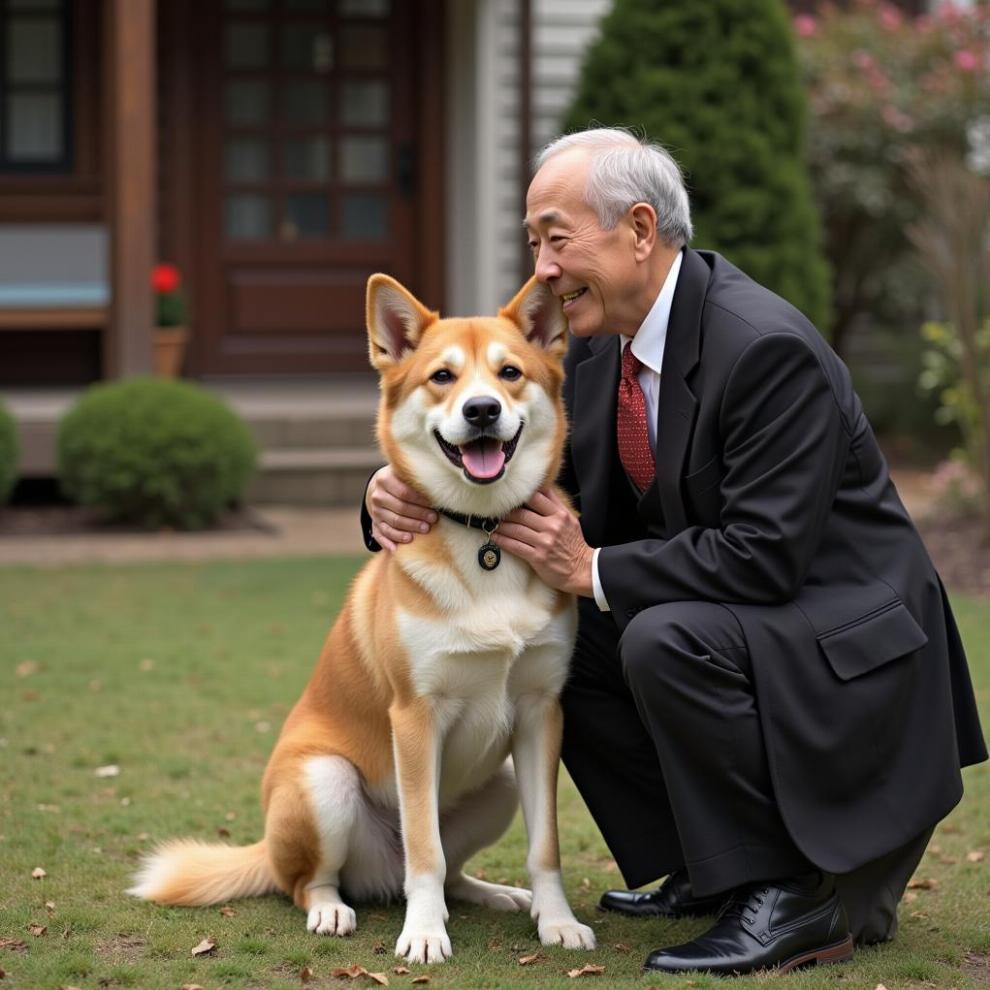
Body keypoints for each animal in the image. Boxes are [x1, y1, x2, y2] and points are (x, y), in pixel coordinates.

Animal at [131, 272, 596, 960]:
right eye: (441, 377)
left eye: (509, 373)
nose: (482, 410)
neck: (481, 535)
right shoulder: (415, 717)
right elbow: (425, 852)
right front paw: (425, 934)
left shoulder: (541, 713)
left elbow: (544, 848)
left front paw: (556, 920)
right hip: (325, 783)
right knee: (314, 881)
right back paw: (332, 909)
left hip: (506, 778)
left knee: (452, 871)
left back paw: (492, 893)